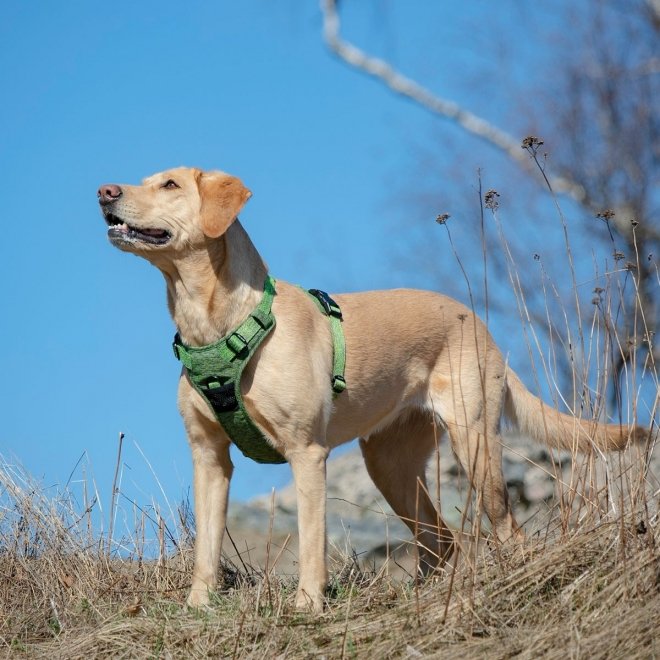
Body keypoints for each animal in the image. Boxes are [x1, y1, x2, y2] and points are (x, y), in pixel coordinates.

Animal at [99, 168, 648, 612]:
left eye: (170, 184)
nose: (104, 191)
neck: (219, 325)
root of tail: (480, 324)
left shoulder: (307, 452)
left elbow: (310, 540)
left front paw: (308, 605)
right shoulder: (209, 457)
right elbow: (207, 548)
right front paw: (197, 606)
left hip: (474, 447)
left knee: (506, 532)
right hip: (389, 464)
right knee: (441, 539)